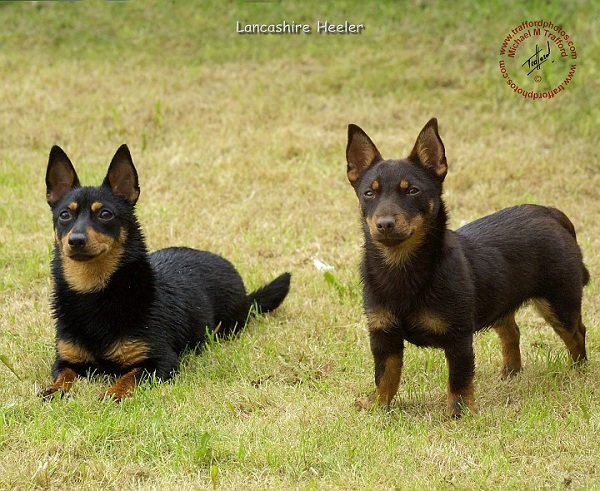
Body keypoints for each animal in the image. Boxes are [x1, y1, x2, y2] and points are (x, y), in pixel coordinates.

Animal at [39, 144, 290, 402]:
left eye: (105, 214)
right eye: (64, 215)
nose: (76, 240)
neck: (94, 293)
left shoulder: (161, 362)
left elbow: (130, 376)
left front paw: (113, 393)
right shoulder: (65, 359)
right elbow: (65, 374)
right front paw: (55, 388)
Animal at [346, 117, 592, 418]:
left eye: (413, 190)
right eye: (369, 193)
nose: (384, 224)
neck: (402, 268)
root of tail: (550, 213)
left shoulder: (458, 338)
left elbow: (459, 378)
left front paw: (459, 413)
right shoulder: (383, 335)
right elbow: (385, 375)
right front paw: (378, 405)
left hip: (559, 302)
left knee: (576, 333)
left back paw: (578, 372)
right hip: (502, 300)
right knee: (512, 332)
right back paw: (511, 372)